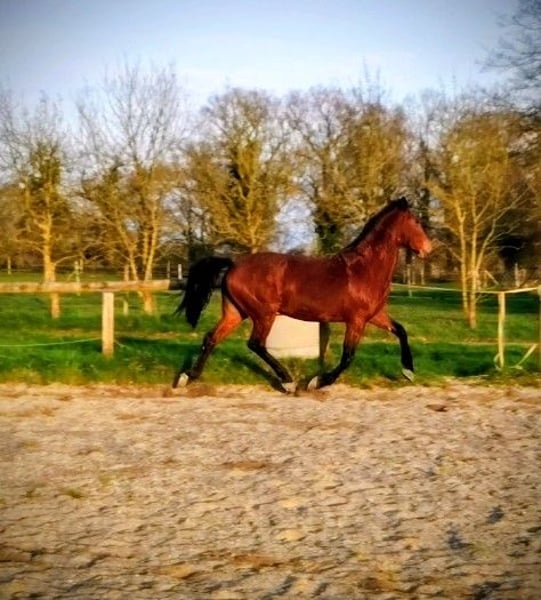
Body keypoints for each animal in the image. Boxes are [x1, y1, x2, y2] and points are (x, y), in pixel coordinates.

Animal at [173, 197, 432, 392]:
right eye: (416, 221)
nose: (428, 248)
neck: (364, 268)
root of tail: (234, 265)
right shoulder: (356, 320)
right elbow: (348, 356)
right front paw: (317, 382)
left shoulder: (375, 315)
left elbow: (401, 331)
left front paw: (408, 371)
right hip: (264, 314)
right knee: (256, 343)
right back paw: (288, 381)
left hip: (236, 313)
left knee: (211, 338)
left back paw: (188, 376)